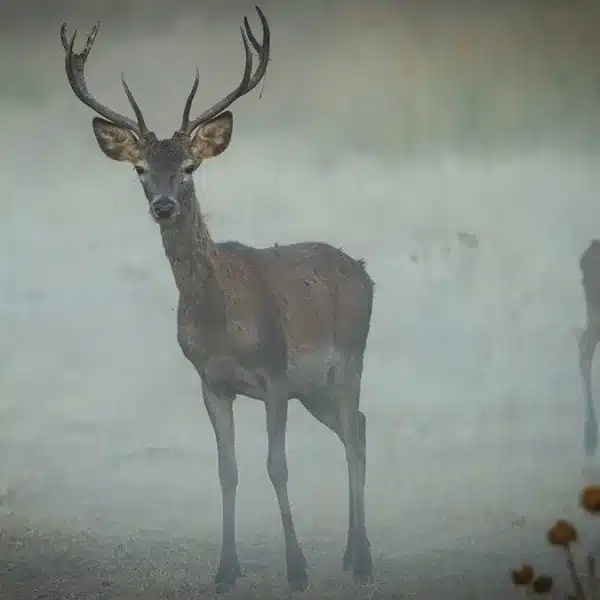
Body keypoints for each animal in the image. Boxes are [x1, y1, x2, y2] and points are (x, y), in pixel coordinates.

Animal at [58, 7, 372, 592]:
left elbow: (277, 466)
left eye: (190, 167)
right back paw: (349, 554)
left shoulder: (275, 374)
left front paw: (297, 570)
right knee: (355, 428)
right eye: (140, 169)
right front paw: (226, 571)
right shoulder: (210, 382)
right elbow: (227, 471)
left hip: (349, 357)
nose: (162, 205)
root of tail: (363, 272)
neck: (222, 319)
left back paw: (361, 558)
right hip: (314, 386)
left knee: (356, 429)